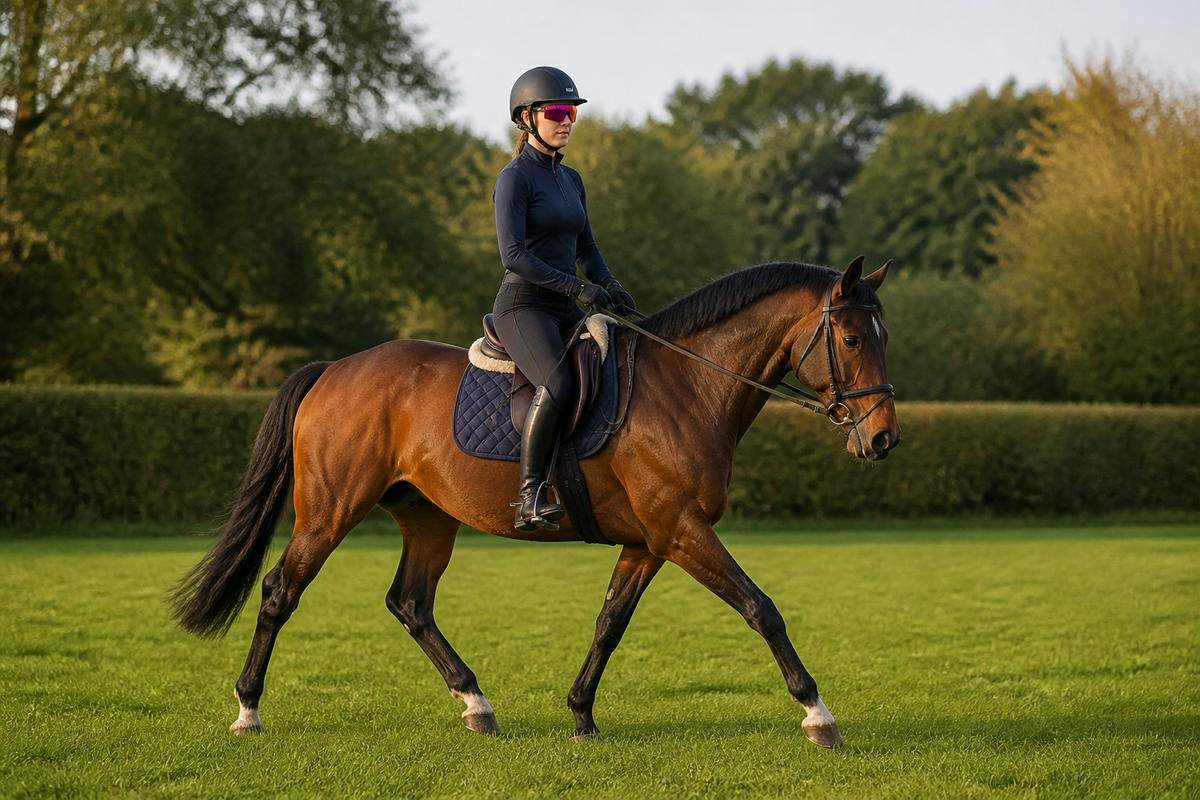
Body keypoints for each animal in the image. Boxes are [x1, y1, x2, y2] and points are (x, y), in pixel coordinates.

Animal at [173, 256, 900, 748]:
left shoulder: (648, 540)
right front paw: (817, 714)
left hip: (427, 517)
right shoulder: (681, 528)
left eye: (883, 337)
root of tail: (335, 370)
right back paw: (247, 710)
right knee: (280, 592)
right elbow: (761, 608)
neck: (687, 386)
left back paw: (476, 704)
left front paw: (581, 714)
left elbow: (609, 623)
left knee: (411, 604)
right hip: (329, 513)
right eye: (853, 339)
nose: (884, 438)